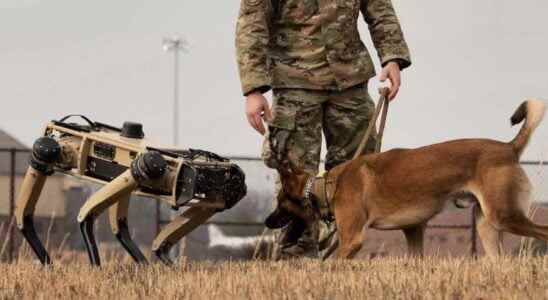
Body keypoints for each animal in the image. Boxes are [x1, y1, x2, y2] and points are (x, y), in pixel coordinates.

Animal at [276, 99, 544, 258]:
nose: (269, 221)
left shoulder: (352, 240)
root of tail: (509, 148)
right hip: (486, 224)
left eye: (280, 203)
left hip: (505, 216)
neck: (329, 185)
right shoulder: (413, 229)